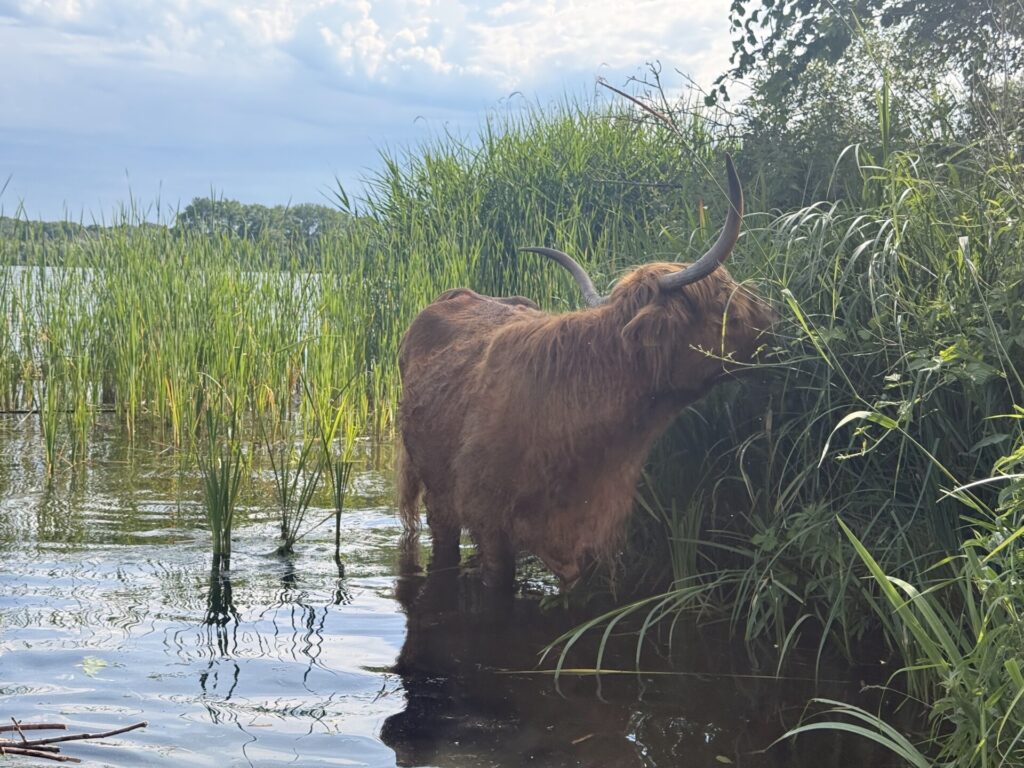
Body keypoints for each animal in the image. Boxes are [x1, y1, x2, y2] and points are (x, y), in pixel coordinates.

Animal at [396, 155, 772, 590]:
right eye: (723, 300)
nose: (775, 318)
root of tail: (457, 293)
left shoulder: (591, 538)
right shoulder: (490, 526)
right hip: (438, 495)